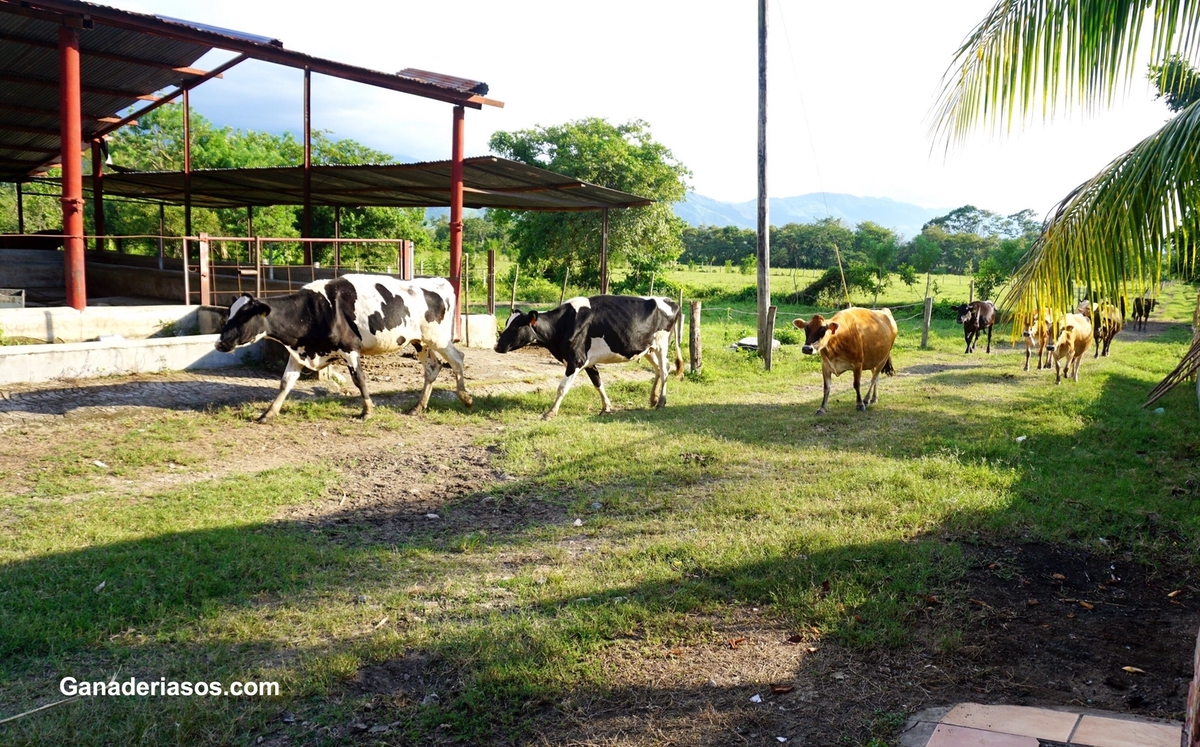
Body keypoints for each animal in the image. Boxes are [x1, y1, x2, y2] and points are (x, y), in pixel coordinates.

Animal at [218, 273, 470, 422]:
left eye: (244, 316)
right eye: (229, 313)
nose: (220, 342)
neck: (312, 310)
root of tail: (438, 281)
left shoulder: (349, 347)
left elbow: (359, 379)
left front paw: (367, 411)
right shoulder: (299, 353)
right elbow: (285, 383)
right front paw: (268, 413)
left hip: (439, 338)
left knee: (458, 358)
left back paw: (465, 397)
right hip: (420, 342)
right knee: (433, 367)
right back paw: (418, 407)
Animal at [494, 294, 686, 422]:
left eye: (515, 327)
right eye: (506, 323)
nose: (496, 346)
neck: (562, 325)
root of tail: (671, 301)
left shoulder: (576, 360)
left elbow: (562, 388)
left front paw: (550, 412)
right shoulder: (587, 361)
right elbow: (598, 382)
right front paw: (607, 407)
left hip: (661, 344)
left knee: (665, 370)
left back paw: (661, 401)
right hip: (647, 349)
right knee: (660, 369)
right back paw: (653, 399)